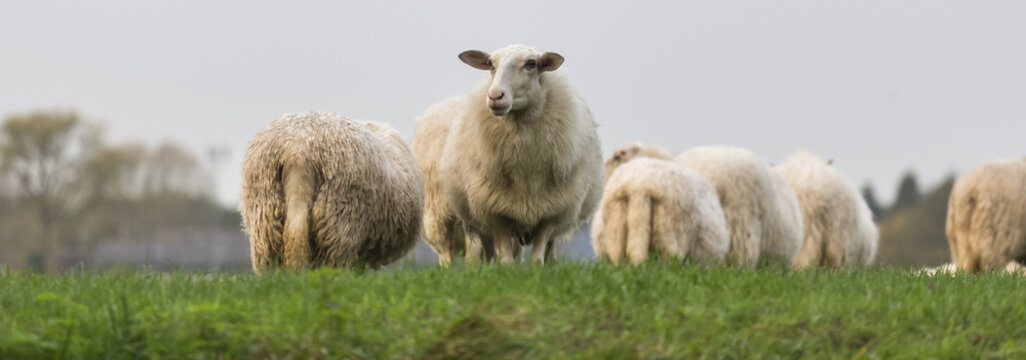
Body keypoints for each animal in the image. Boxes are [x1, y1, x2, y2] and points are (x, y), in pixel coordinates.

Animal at [410, 44, 603, 264]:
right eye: (491, 64)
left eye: (531, 64)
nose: (495, 96)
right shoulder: (495, 212)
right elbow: (506, 260)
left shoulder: (551, 214)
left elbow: (537, 258)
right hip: (441, 214)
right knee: (450, 252)